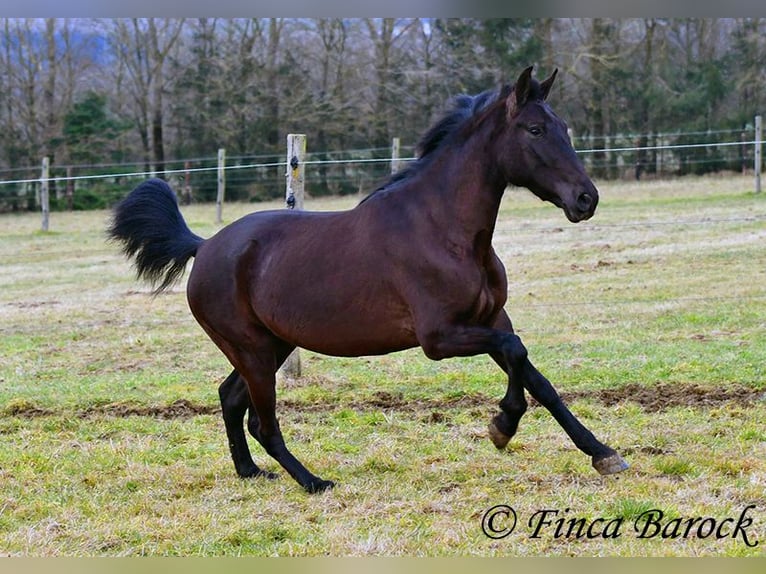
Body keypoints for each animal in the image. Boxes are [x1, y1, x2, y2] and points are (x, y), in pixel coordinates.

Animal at [109, 65, 632, 492]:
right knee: (263, 421)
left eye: (564, 127)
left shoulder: (491, 318)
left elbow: (536, 377)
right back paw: (313, 482)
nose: (586, 199)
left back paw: (250, 472)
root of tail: (204, 246)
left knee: (230, 398)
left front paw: (602, 454)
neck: (445, 230)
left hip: (271, 345)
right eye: (535, 129)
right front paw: (502, 426)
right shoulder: (440, 337)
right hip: (252, 349)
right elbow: (517, 352)